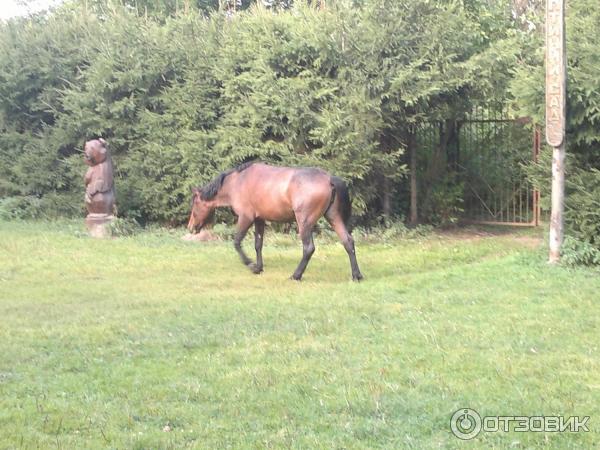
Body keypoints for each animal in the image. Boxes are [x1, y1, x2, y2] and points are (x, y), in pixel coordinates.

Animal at [186, 162, 360, 282]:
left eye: (195, 204)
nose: (190, 227)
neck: (237, 182)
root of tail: (329, 179)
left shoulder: (246, 217)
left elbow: (237, 242)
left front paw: (250, 265)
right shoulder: (259, 219)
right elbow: (258, 244)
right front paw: (259, 267)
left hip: (304, 222)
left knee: (308, 248)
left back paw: (296, 275)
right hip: (333, 217)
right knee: (348, 242)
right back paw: (356, 275)